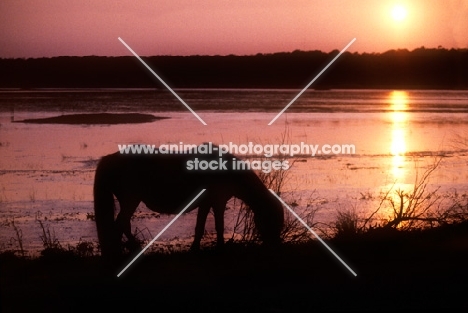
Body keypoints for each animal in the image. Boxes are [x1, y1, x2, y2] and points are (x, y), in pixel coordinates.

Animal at [93, 146, 284, 256]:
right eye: (272, 219)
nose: (276, 246)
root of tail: (109, 159)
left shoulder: (206, 203)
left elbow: (200, 227)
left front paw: (194, 248)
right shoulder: (218, 201)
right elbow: (219, 226)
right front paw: (221, 249)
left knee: (123, 225)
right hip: (131, 199)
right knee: (120, 225)